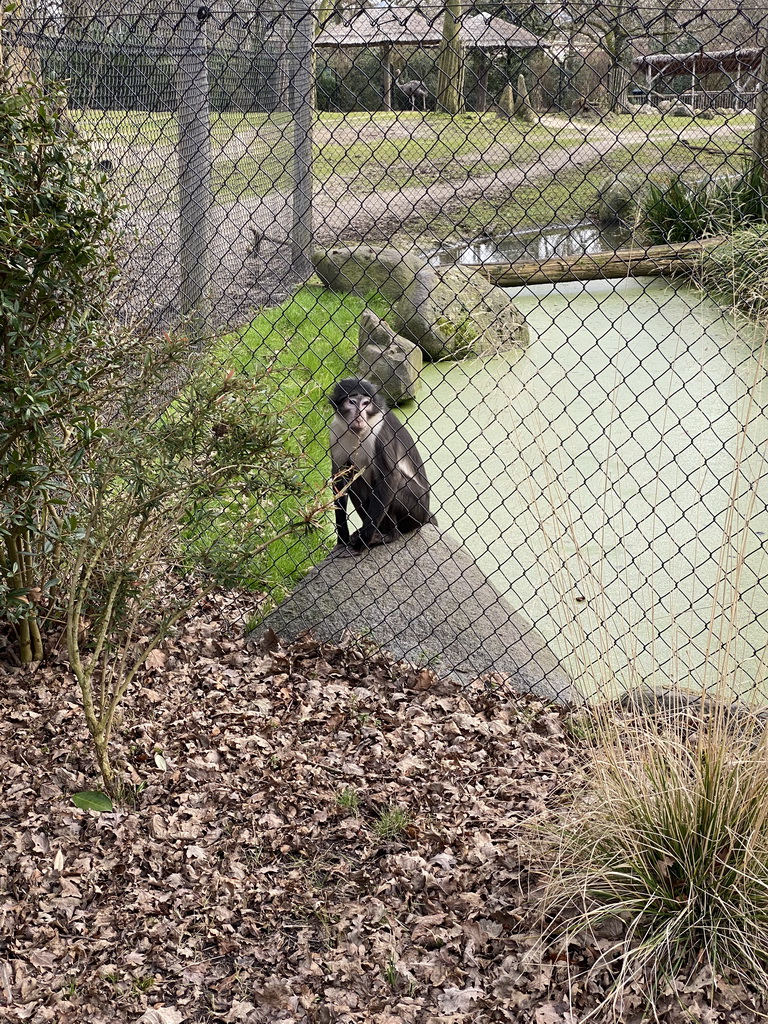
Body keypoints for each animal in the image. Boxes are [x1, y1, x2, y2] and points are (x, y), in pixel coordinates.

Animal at [329, 376, 436, 552]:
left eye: (366, 403)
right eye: (352, 402)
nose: (359, 416)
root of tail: (426, 514)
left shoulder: (379, 432)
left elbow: (390, 478)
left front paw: (363, 541)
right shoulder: (335, 432)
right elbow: (339, 479)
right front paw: (342, 540)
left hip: (417, 509)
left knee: (397, 484)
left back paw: (389, 535)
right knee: (355, 479)